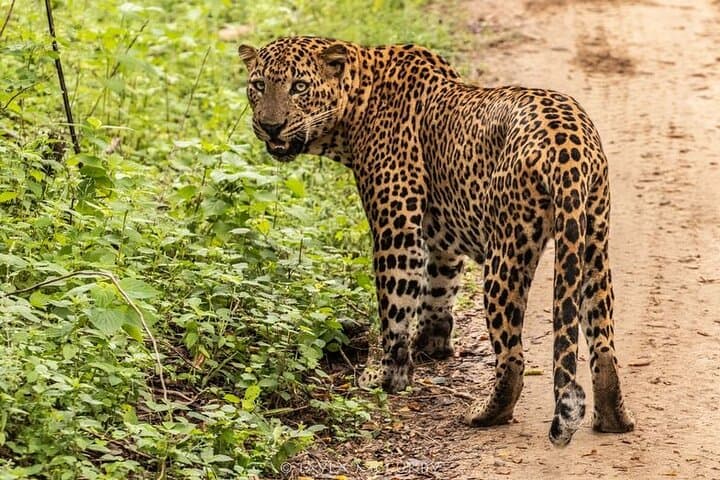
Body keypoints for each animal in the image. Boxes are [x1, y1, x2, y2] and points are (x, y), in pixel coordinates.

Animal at [238, 36, 635, 446]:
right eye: (258, 85)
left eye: (299, 86)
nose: (270, 126)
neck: (357, 105)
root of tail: (568, 144)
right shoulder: (438, 233)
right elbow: (439, 285)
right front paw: (433, 344)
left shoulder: (395, 226)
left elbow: (395, 306)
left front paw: (389, 376)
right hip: (592, 240)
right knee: (603, 340)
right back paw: (613, 418)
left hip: (507, 250)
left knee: (512, 356)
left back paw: (485, 413)